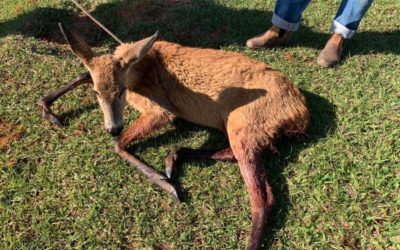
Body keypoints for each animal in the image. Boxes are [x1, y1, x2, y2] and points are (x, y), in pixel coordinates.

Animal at [37, 1, 308, 248]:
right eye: (96, 93)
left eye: (121, 91)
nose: (112, 127)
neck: (143, 68)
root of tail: (301, 113)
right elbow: (84, 74)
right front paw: (47, 109)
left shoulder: (163, 109)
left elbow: (118, 144)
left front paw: (166, 185)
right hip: (243, 128)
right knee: (242, 162)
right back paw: (174, 157)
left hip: (243, 120)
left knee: (262, 199)